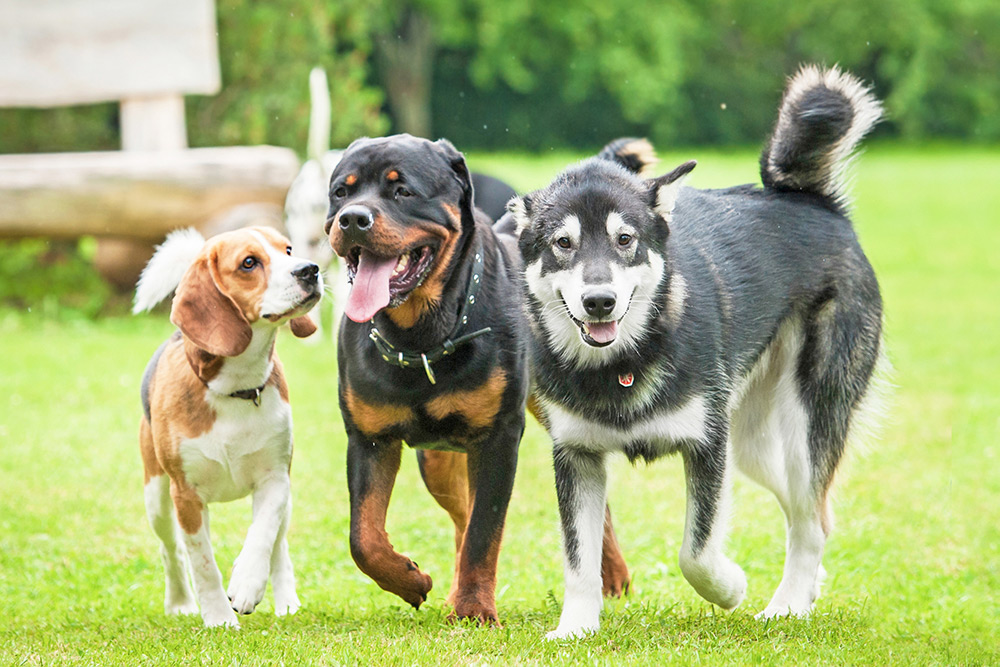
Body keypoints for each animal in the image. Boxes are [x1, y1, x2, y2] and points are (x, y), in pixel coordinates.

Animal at [512, 65, 888, 640]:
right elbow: (579, 560)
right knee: (818, 515)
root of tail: (814, 202)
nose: (599, 301)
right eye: (562, 243)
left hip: (802, 426)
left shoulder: (707, 446)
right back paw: (808, 587)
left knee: (809, 518)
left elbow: (696, 551)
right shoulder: (576, 455)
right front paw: (575, 628)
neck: (625, 363)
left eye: (625, 240)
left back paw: (787, 604)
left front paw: (729, 588)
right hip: (751, 443)